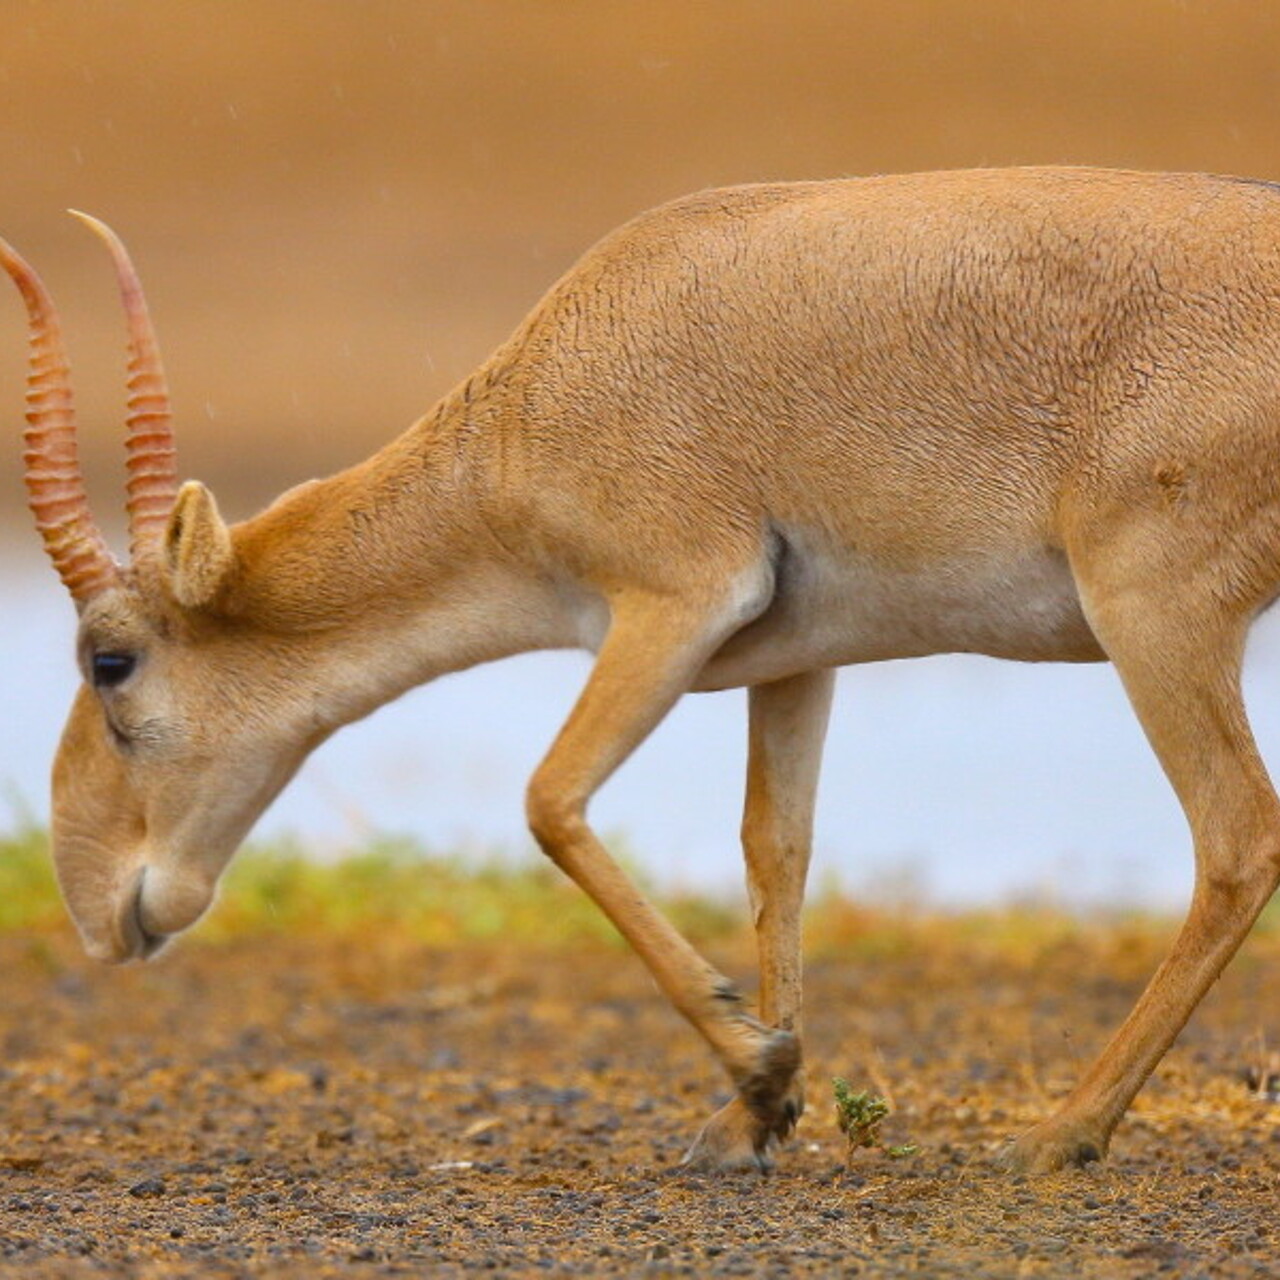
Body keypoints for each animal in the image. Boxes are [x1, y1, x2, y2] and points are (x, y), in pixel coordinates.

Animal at [7, 166, 1280, 1176]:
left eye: (110, 659)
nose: (98, 908)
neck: (539, 397)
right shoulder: (798, 661)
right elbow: (775, 848)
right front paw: (754, 1113)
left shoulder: (670, 604)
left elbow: (549, 798)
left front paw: (760, 1070)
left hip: (1151, 614)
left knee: (1235, 833)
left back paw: (1058, 1133)